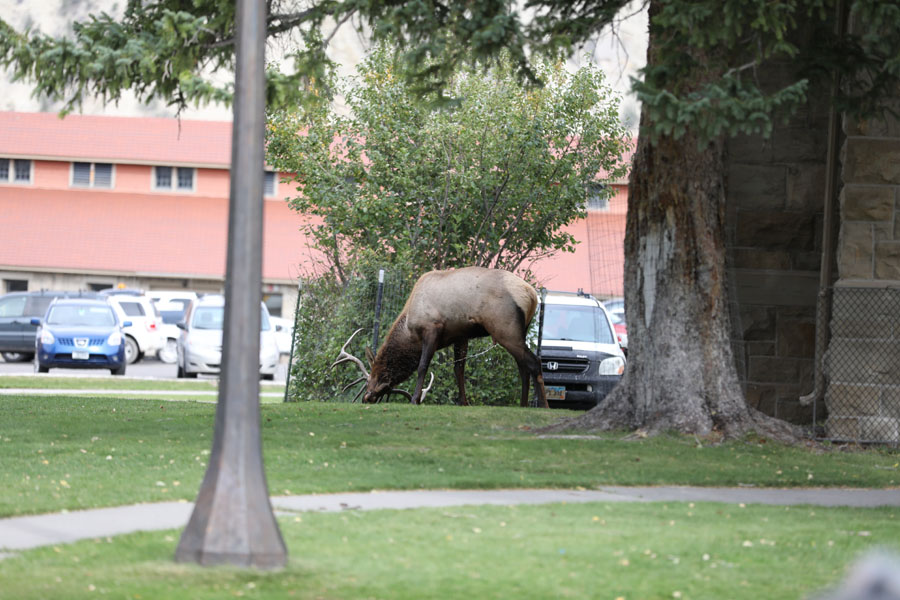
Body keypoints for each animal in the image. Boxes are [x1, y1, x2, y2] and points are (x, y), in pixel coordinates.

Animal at [331, 266, 549, 408]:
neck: (409, 327)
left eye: (378, 374)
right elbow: (458, 369)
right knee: (522, 367)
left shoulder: (432, 329)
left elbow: (422, 366)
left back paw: (544, 405)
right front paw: (463, 402)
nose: (367, 397)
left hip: (504, 329)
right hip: (518, 331)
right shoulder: (461, 335)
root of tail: (532, 295)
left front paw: (415, 399)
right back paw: (522, 404)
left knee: (534, 362)